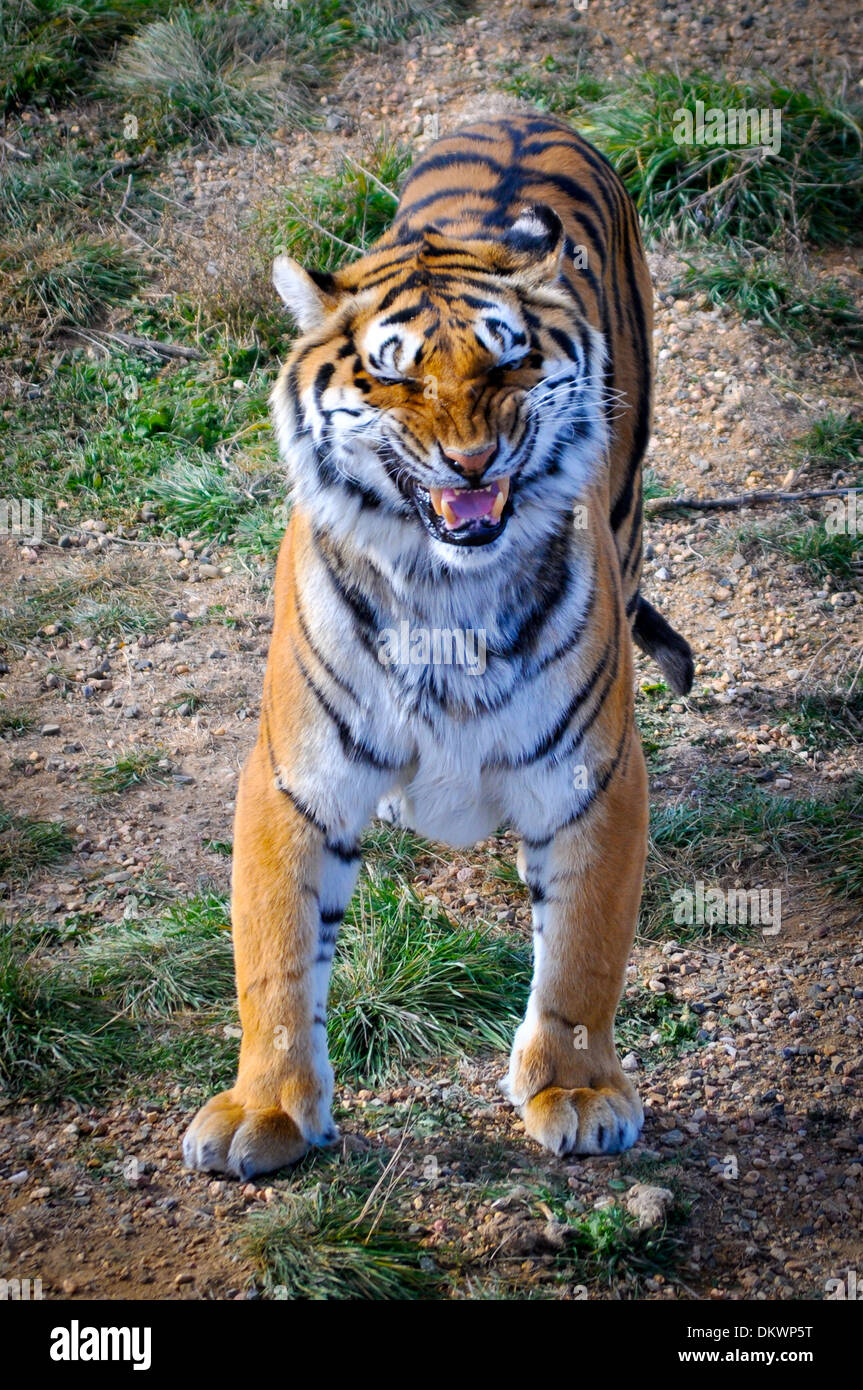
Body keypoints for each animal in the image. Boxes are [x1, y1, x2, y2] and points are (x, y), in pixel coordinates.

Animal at [183, 113, 694, 1180]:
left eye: (508, 363)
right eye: (395, 372)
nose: (470, 462)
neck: (445, 589)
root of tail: (518, 110)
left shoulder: (592, 774)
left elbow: (581, 951)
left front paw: (575, 1092)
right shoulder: (294, 778)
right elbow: (275, 958)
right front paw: (267, 1108)